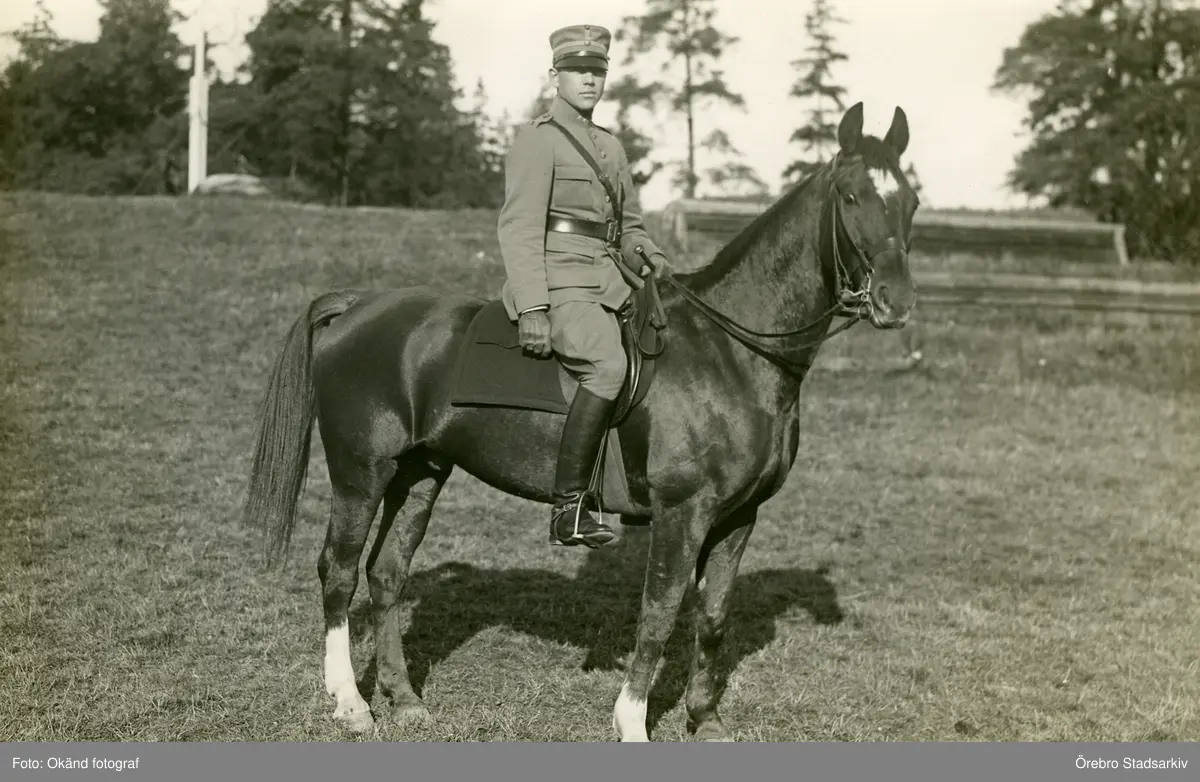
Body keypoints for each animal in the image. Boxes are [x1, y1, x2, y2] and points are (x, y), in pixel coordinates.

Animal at [240, 101, 920, 742]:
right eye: (852, 196)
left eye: (911, 201)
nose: (897, 302)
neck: (730, 349)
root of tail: (359, 303)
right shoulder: (683, 512)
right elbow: (660, 613)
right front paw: (633, 722)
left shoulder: (738, 517)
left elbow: (713, 616)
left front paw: (704, 720)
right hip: (361, 472)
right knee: (338, 572)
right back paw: (350, 705)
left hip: (420, 473)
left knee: (386, 574)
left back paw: (404, 700)